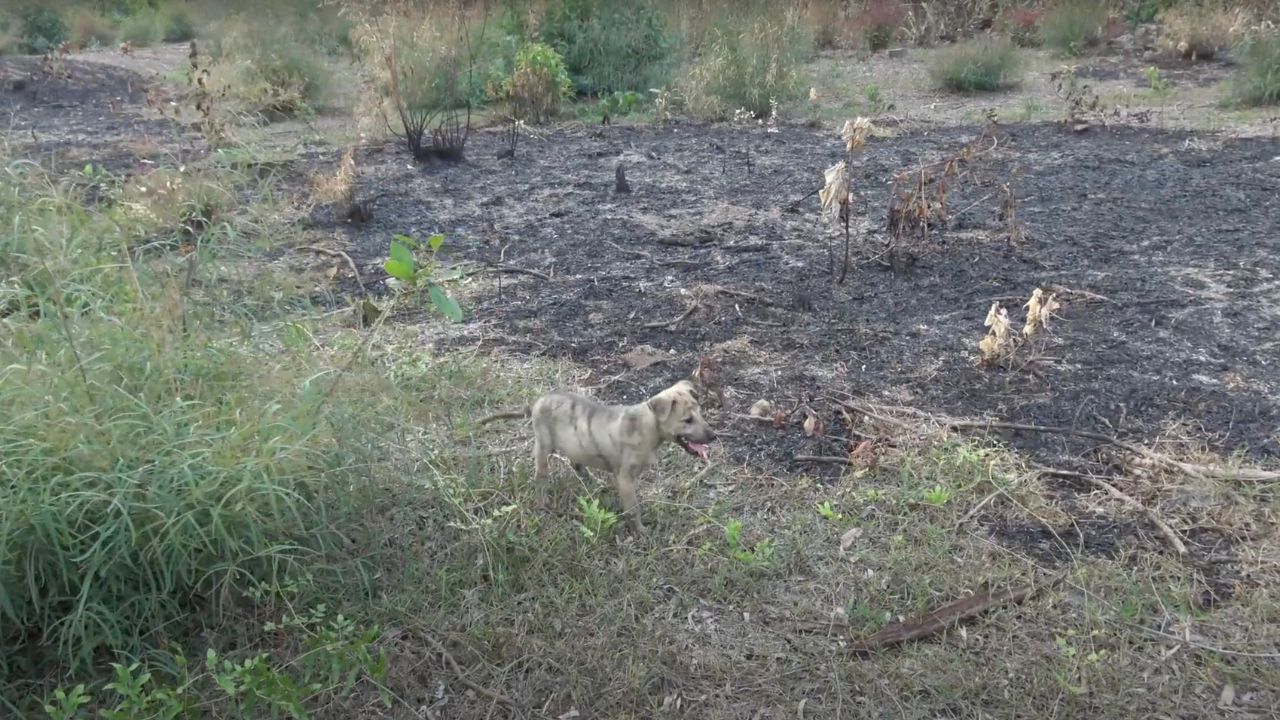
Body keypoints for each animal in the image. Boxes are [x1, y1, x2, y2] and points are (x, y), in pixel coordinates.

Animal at [481, 379, 721, 530]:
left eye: (700, 413)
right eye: (687, 420)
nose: (713, 436)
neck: (647, 427)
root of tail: (536, 403)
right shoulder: (625, 477)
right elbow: (632, 509)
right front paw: (641, 532)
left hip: (574, 444)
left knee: (577, 464)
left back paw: (594, 483)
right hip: (543, 446)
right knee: (541, 477)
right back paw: (543, 504)